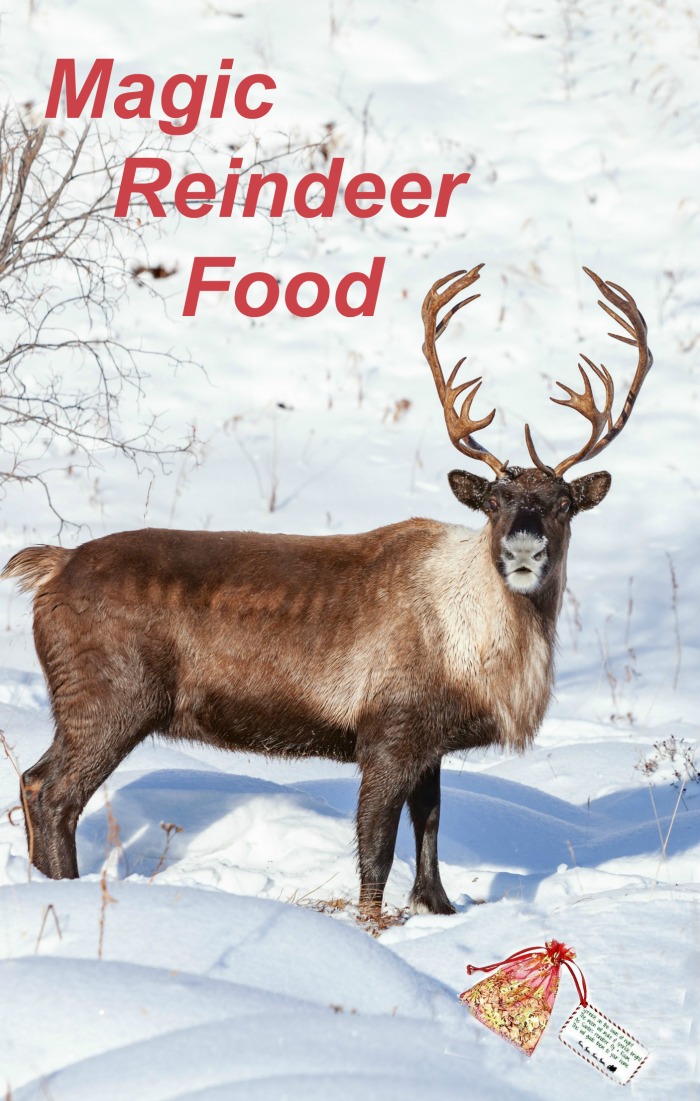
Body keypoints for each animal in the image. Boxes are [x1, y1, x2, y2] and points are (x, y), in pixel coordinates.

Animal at [2, 264, 652, 917]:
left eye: (564, 503)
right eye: (495, 500)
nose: (523, 548)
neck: (478, 650)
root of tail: (52, 566)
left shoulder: (429, 744)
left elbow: (430, 830)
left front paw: (438, 909)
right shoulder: (388, 733)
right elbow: (376, 847)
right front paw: (372, 924)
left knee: (34, 781)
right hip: (110, 698)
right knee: (52, 793)